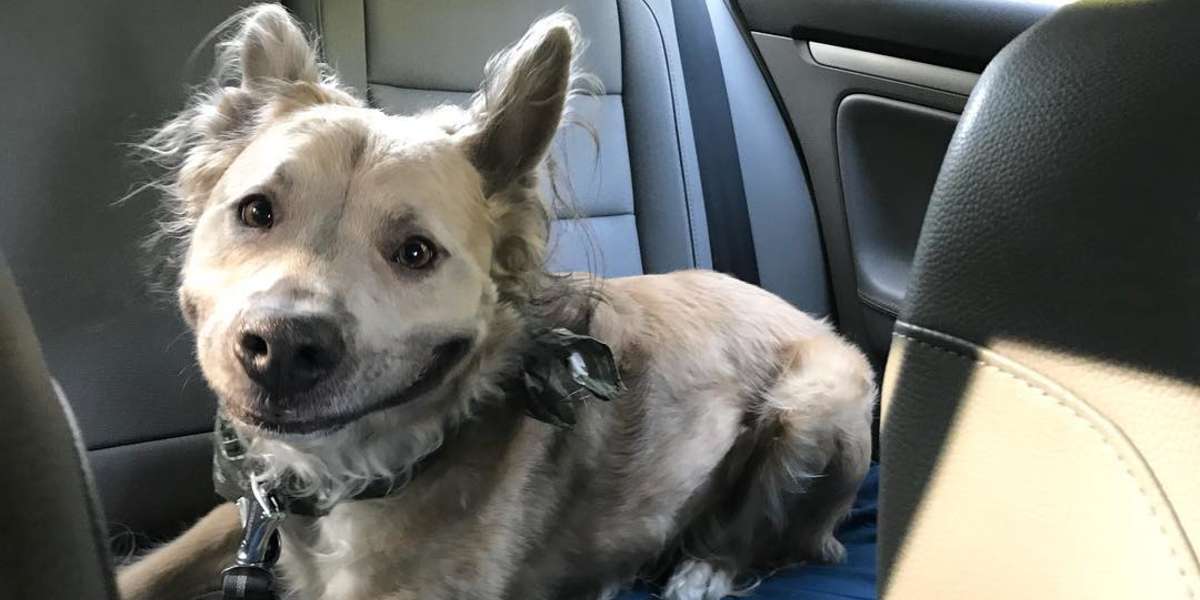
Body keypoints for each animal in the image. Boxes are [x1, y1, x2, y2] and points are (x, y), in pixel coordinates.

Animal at [117, 5, 878, 600]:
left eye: (415, 252)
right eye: (256, 211)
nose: (280, 347)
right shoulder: (248, 510)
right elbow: (159, 562)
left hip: (813, 407)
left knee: (788, 537)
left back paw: (705, 568)